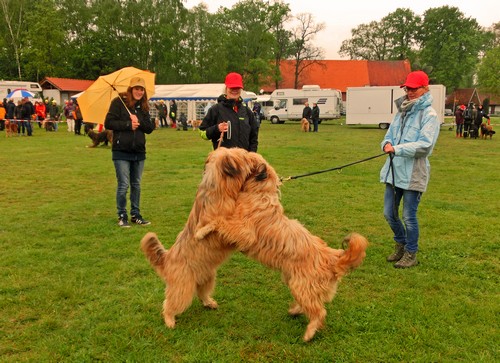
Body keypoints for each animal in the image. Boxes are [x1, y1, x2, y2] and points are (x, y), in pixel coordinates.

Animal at [141, 146, 368, 342]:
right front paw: (202, 229)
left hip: (298, 284)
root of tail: (334, 258)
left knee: (319, 312)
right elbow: (219, 220)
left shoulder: (243, 229)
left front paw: (202, 230)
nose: (250, 154)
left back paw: (308, 332)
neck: (260, 193)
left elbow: (220, 222)